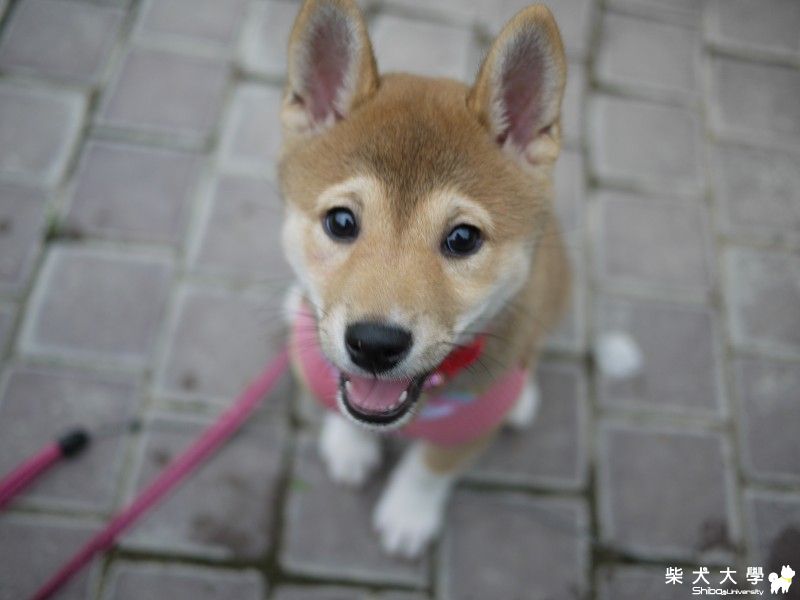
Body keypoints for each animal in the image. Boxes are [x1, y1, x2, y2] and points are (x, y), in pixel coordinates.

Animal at [278, 0, 570, 558]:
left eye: (463, 238)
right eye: (341, 222)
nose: (374, 345)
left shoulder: (471, 427)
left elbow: (430, 468)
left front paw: (409, 514)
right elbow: (341, 410)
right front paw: (350, 446)